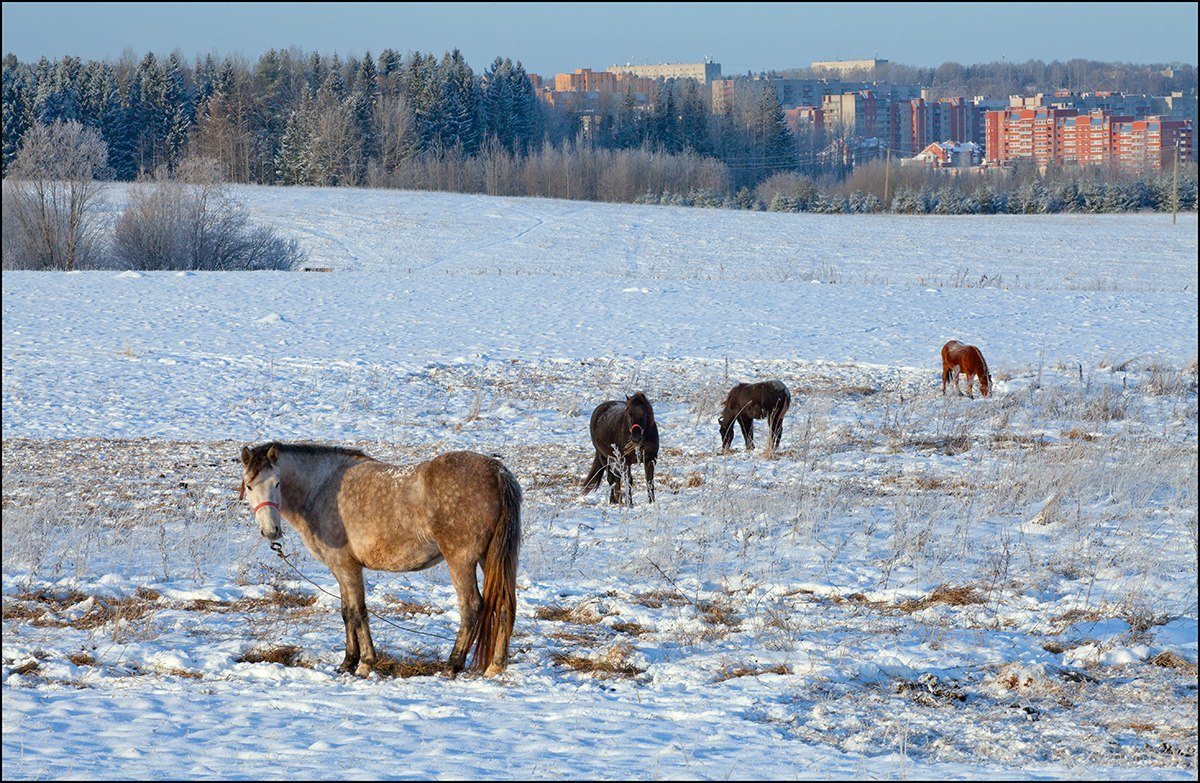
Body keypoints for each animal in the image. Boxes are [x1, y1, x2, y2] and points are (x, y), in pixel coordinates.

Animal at [238, 444, 520, 677]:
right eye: (249, 486)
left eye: (277, 484)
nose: (271, 531)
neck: (323, 488)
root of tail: (497, 473)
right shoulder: (340, 569)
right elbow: (346, 612)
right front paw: (347, 662)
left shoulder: (346, 566)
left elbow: (358, 612)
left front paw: (364, 664)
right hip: (490, 559)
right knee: (505, 604)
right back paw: (495, 667)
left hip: (460, 561)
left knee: (472, 606)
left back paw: (452, 665)